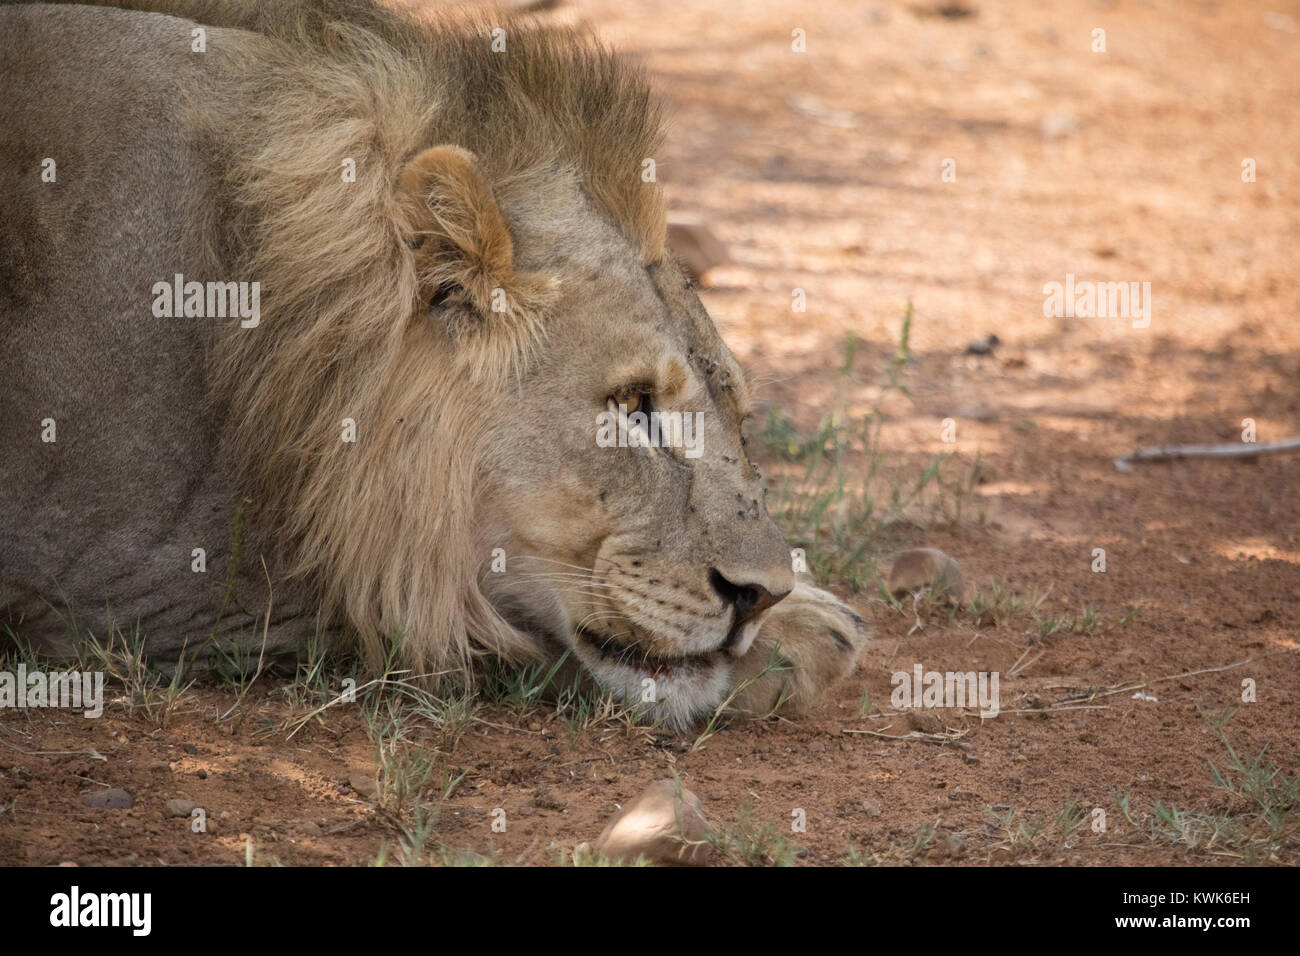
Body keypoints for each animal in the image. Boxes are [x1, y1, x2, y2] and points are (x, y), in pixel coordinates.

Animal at [2, 0, 873, 728]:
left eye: (740, 416)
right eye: (632, 407)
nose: (760, 595)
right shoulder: (125, 582)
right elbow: (447, 613)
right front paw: (811, 630)